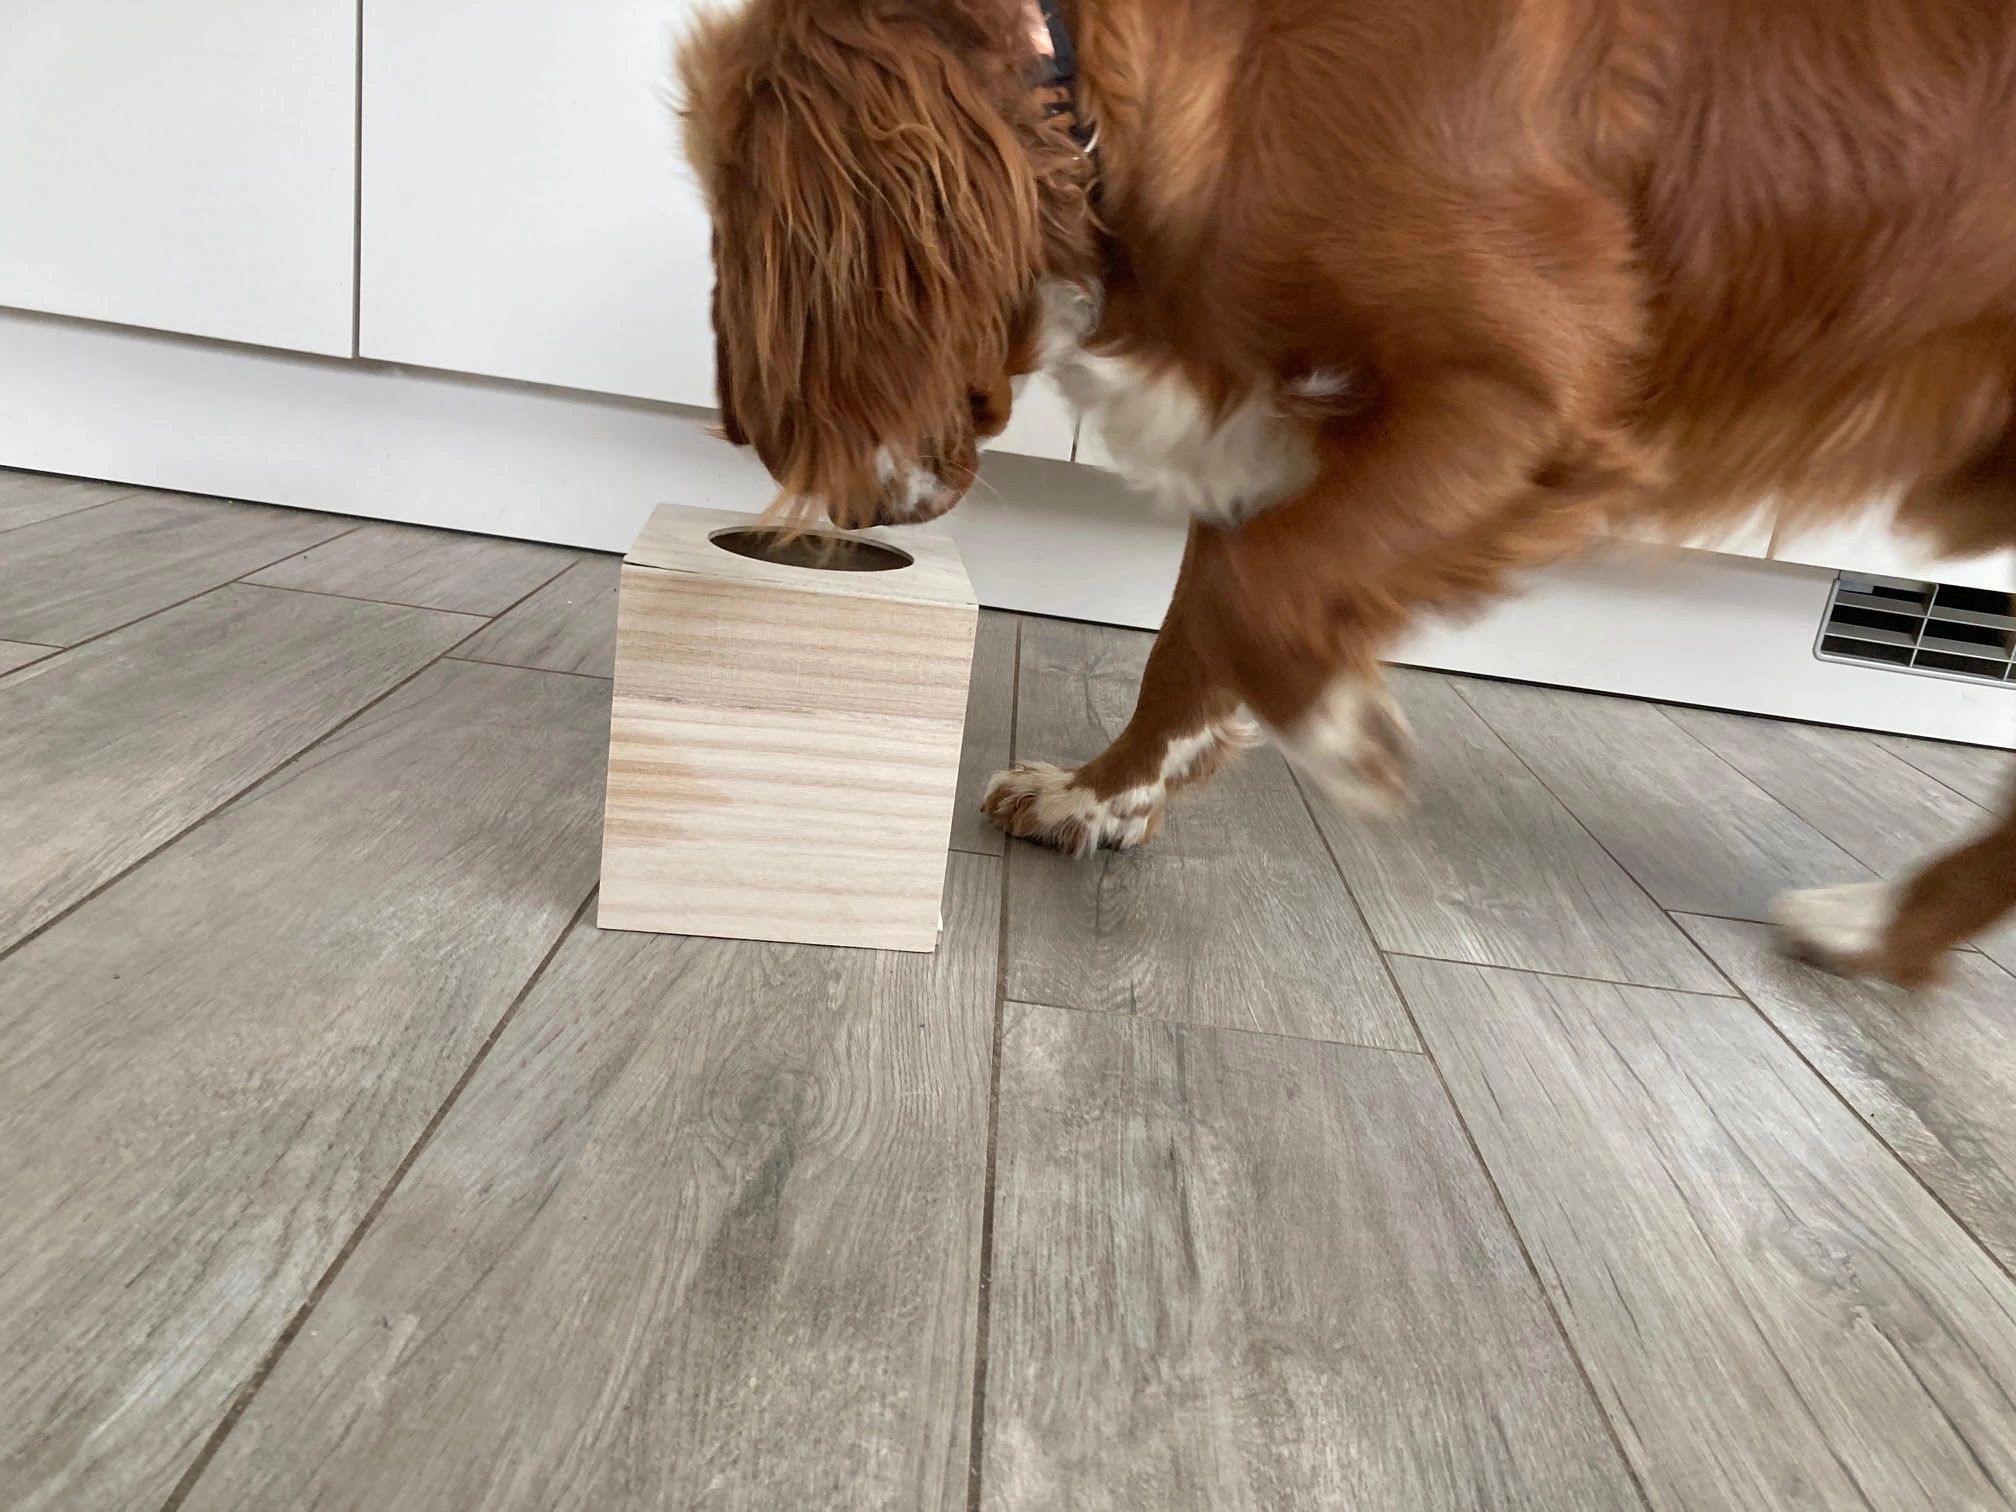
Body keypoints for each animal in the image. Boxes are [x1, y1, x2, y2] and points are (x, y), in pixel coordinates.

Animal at [681, 0, 2016, 987]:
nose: (744, 434)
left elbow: (1255, 596)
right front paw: (1101, 795)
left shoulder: (1523, 385)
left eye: (748, 225)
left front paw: (1342, 731)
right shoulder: (1288, 428)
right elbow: (1196, 626)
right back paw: (1875, 933)